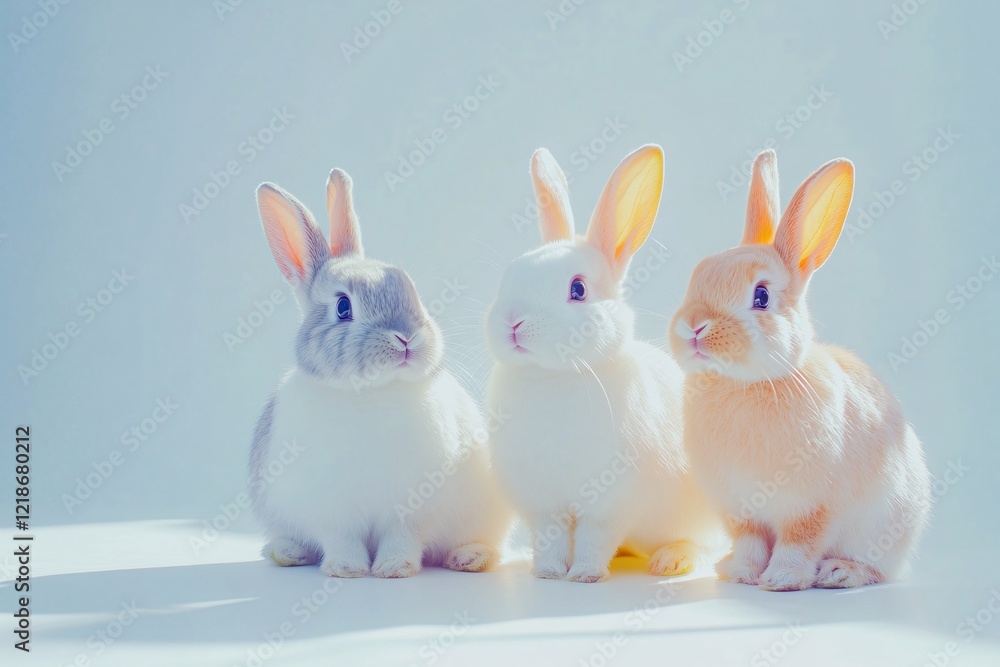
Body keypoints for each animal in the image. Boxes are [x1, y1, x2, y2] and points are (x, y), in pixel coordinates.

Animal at [248, 168, 509, 578]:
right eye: (343, 307)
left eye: (412, 291)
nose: (407, 337)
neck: (370, 392)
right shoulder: (330, 509)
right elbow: (341, 538)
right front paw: (347, 569)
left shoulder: (412, 508)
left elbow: (402, 536)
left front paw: (393, 568)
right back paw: (287, 552)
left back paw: (470, 558)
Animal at [485, 145, 723, 583]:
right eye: (511, 275)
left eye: (578, 289)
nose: (512, 321)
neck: (553, 377)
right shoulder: (545, 505)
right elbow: (551, 537)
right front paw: (547, 573)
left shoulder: (610, 503)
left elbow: (594, 538)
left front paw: (584, 574)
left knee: (699, 544)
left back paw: (670, 561)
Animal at [668, 149, 932, 591]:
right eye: (697, 274)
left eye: (761, 296)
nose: (694, 326)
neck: (747, 383)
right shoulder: (741, 510)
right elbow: (750, 542)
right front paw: (743, 574)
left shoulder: (812, 505)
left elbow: (799, 541)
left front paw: (782, 580)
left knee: (878, 570)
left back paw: (840, 572)